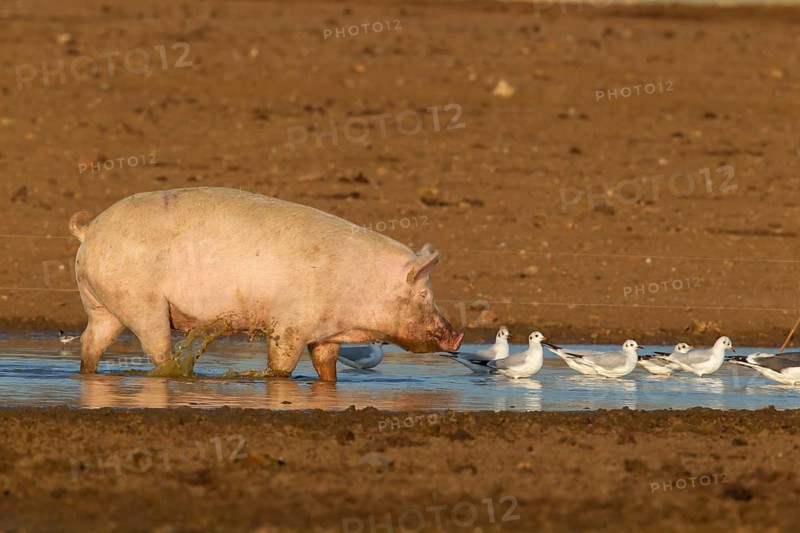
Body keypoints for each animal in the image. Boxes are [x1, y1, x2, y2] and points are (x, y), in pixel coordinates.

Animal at [69, 187, 463, 381]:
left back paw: (87, 374)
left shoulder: (324, 334)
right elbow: (282, 364)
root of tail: (90, 230)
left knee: (90, 342)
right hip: (141, 301)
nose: (457, 336)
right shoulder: (290, 322)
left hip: (102, 302)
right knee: (157, 349)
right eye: (425, 293)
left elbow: (326, 367)